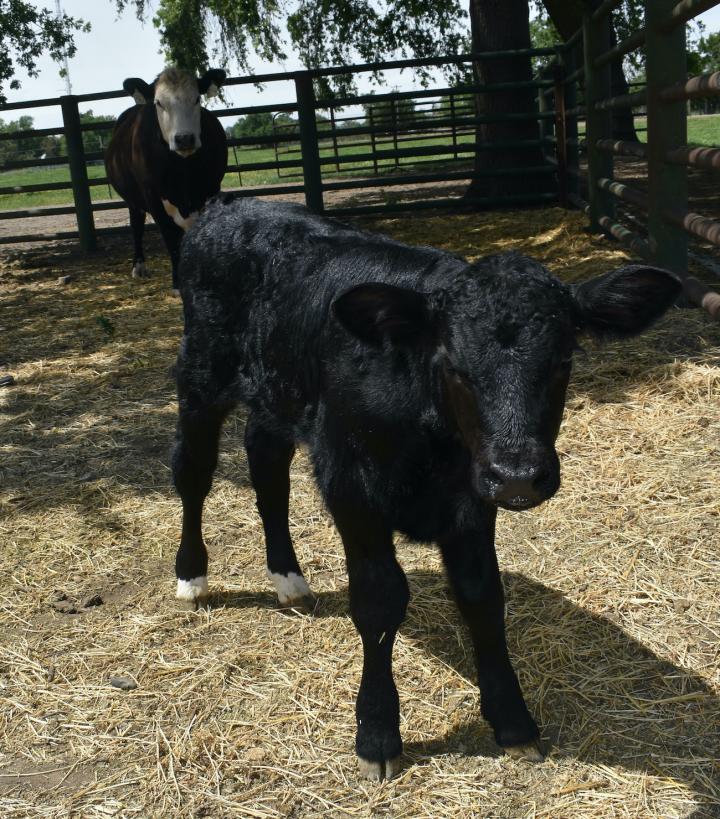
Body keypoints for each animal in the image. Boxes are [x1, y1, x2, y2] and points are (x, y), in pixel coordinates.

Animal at [105, 67, 228, 290]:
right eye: (159, 103)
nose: (184, 138)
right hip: (133, 201)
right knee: (137, 226)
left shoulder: (211, 188)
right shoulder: (153, 198)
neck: (183, 170)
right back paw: (139, 267)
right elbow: (171, 237)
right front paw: (178, 283)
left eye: (197, 98)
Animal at [171, 196, 681, 780]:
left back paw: (289, 580)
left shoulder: (472, 497)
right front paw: (376, 735)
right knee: (194, 471)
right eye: (454, 365)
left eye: (564, 361)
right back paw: (191, 578)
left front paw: (513, 722)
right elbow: (379, 599)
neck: (431, 440)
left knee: (267, 467)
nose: (518, 474)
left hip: (275, 391)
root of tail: (230, 206)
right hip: (201, 375)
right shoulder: (351, 487)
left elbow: (483, 596)